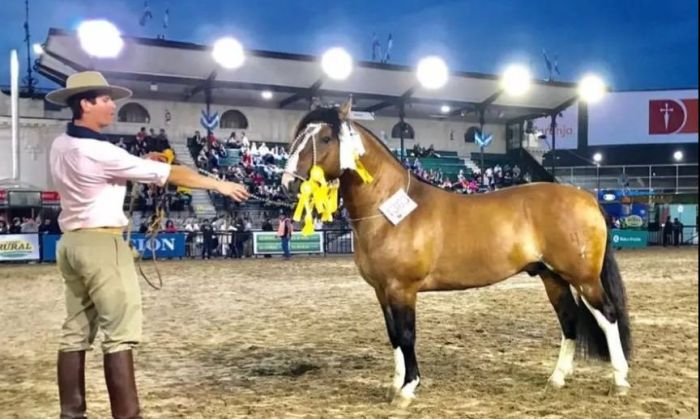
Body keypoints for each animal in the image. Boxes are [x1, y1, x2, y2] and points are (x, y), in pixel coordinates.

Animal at [282, 100, 632, 408]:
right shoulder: (382, 291)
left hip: (584, 278)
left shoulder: (402, 289)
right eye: (298, 136)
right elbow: (393, 335)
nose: (288, 183)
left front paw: (408, 389)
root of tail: (588, 198)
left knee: (608, 316)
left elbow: (407, 335)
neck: (390, 209)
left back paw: (620, 382)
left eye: (325, 138)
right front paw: (395, 385)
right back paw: (557, 378)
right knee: (569, 320)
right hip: (552, 277)